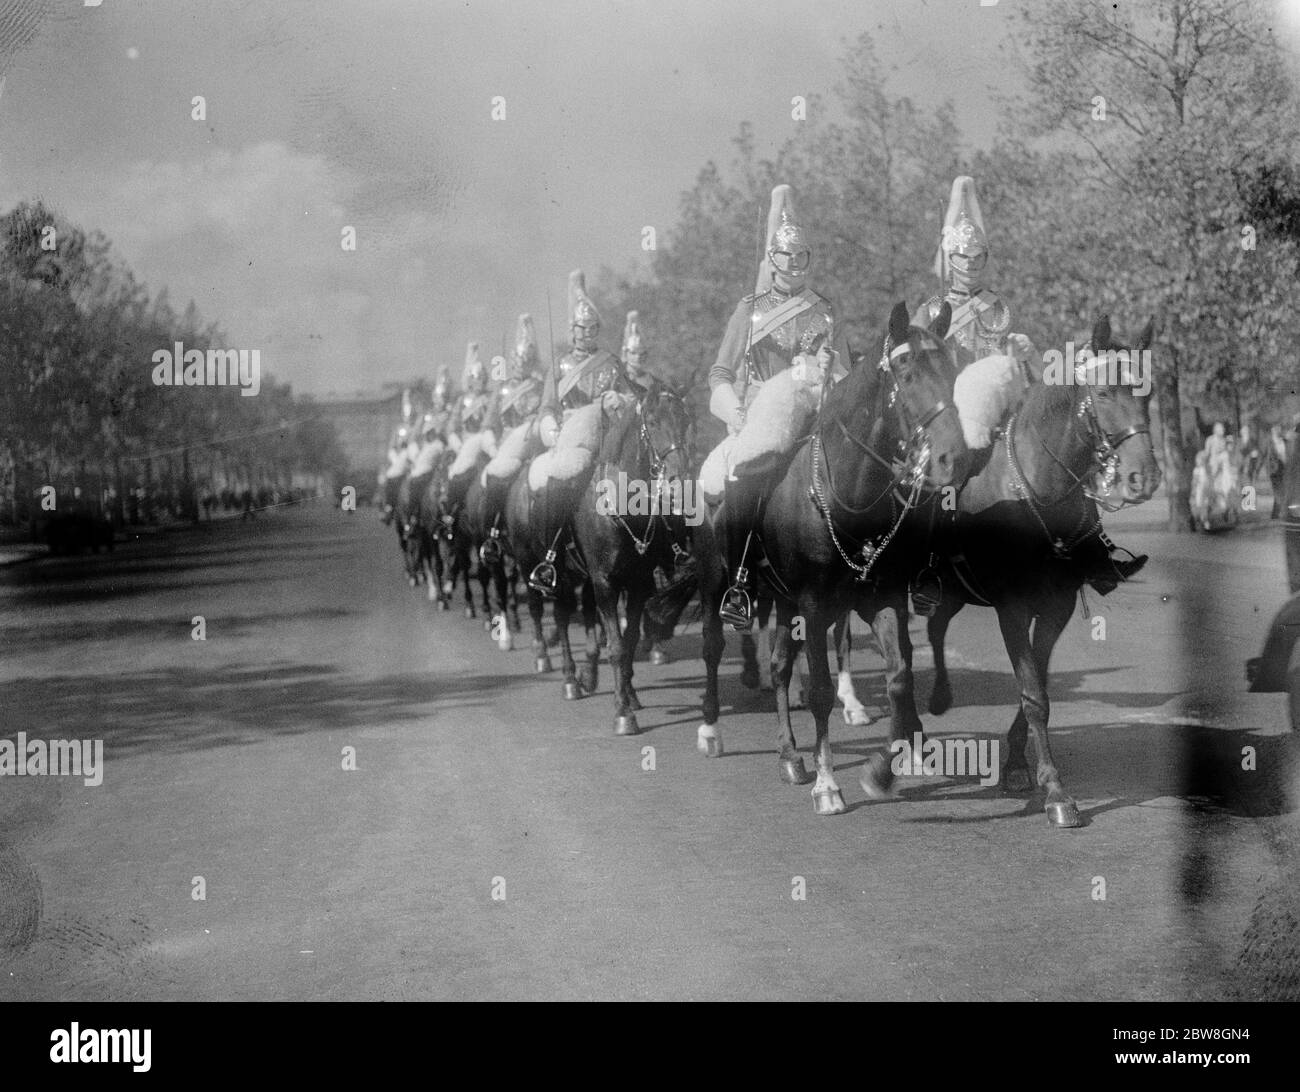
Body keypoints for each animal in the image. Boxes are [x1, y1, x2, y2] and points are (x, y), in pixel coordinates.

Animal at [566, 377, 691, 733]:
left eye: (685, 419)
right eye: (653, 420)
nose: (679, 477)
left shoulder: (637, 584)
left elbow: (631, 639)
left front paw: (628, 697)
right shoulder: (605, 582)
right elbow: (617, 646)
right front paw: (623, 714)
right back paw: (571, 679)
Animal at [920, 315, 1164, 826]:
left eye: (1148, 392)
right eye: (1105, 392)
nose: (1144, 478)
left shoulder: (1056, 608)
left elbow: (1037, 685)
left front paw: (1020, 766)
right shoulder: (1011, 609)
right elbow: (1033, 693)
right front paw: (1056, 793)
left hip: (956, 591)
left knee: (935, 625)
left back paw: (939, 697)